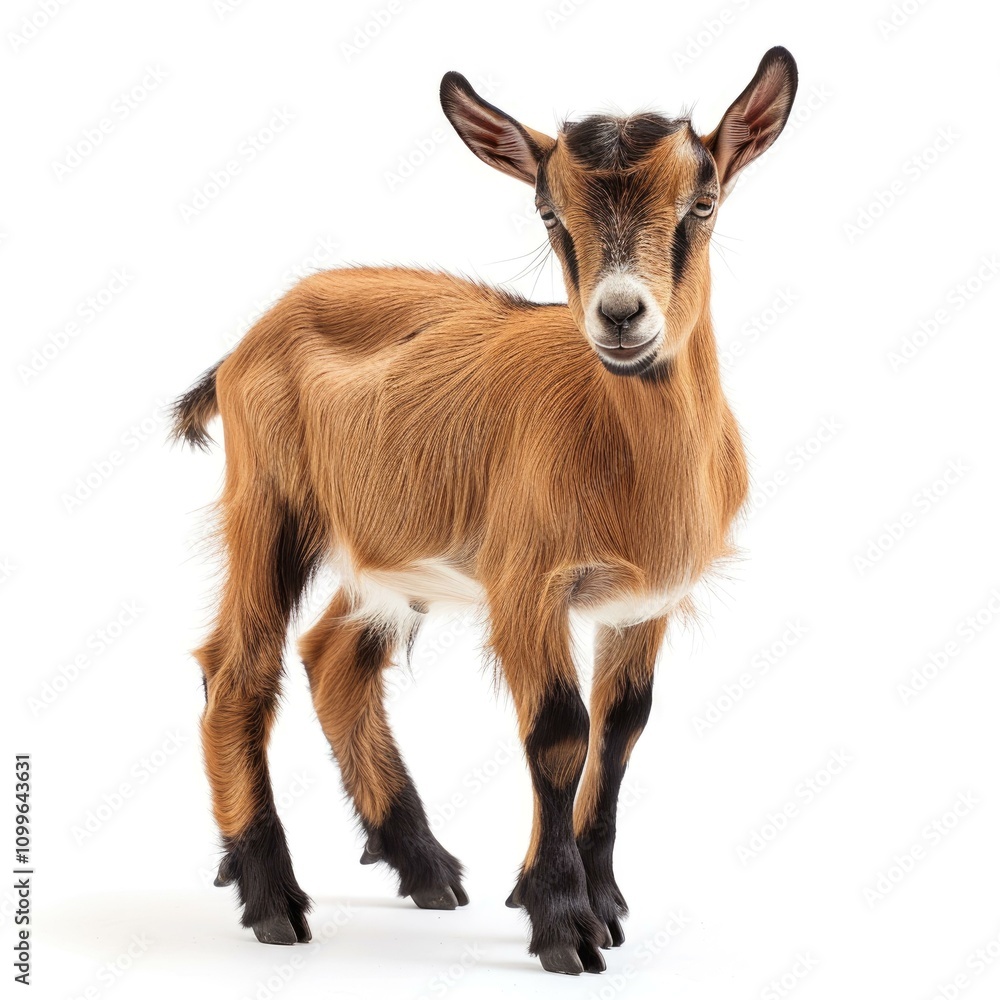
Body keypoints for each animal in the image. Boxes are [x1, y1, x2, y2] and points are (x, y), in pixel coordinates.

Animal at [172, 48, 797, 975]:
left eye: (705, 200)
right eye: (548, 211)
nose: (620, 316)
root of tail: (250, 338)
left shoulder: (641, 603)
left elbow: (620, 732)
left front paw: (600, 900)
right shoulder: (525, 585)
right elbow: (560, 732)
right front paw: (565, 924)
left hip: (392, 551)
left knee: (334, 659)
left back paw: (425, 866)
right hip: (269, 501)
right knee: (238, 669)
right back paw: (272, 898)